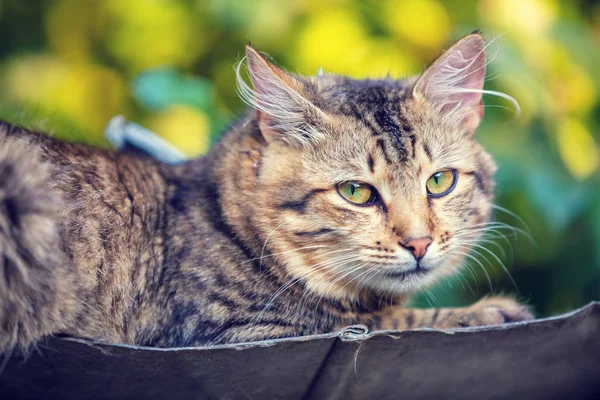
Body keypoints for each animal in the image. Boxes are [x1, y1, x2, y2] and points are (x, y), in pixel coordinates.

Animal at [0, 32, 532, 354]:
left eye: (439, 182)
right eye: (356, 192)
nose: (418, 243)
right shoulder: (234, 333)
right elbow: (393, 321)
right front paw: (486, 311)